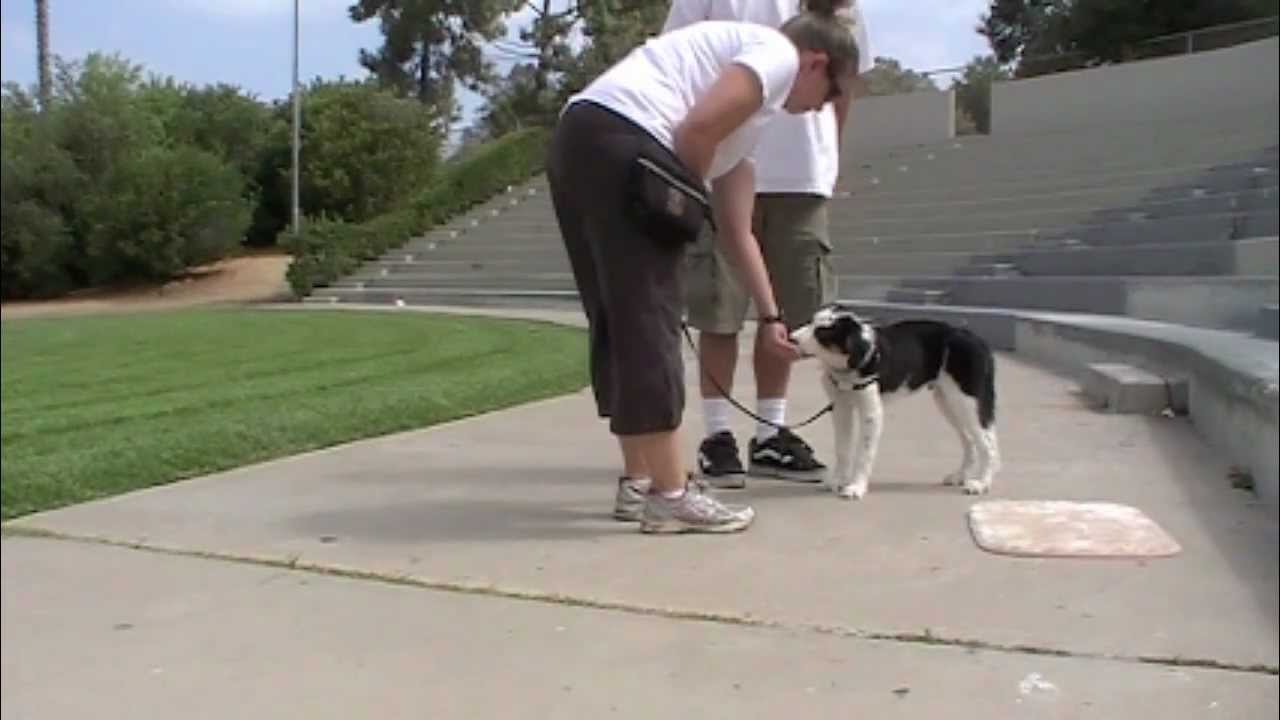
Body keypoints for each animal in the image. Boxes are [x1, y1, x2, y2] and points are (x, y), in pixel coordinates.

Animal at [788, 302, 998, 499]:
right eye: (811, 321)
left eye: (821, 332)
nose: (790, 338)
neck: (846, 367)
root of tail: (978, 340)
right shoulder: (841, 408)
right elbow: (842, 449)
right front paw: (838, 481)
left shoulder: (871, 414)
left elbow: (864, 453)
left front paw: (856, 487)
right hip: (948, 400)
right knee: (970, 439)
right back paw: (960, 476)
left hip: (967, 401)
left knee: (988, 444)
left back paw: (981, 483)